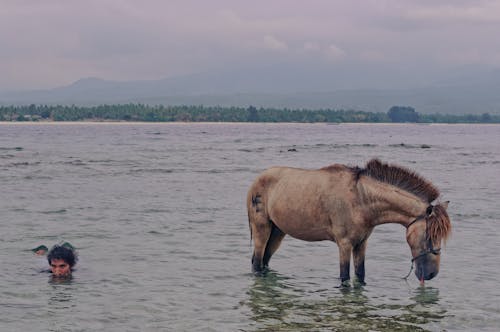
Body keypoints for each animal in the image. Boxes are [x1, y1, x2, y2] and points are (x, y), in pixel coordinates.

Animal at [247, 160, 454, 284]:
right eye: (429, 236)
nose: (431, 274)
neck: (361, 199)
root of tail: (257, 180)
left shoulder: (361, 244)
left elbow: (360, 276)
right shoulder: (345, 245)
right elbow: (345, 278)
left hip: (277, 233)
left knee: (265, 261)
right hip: (262, 230)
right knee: (257, 262)